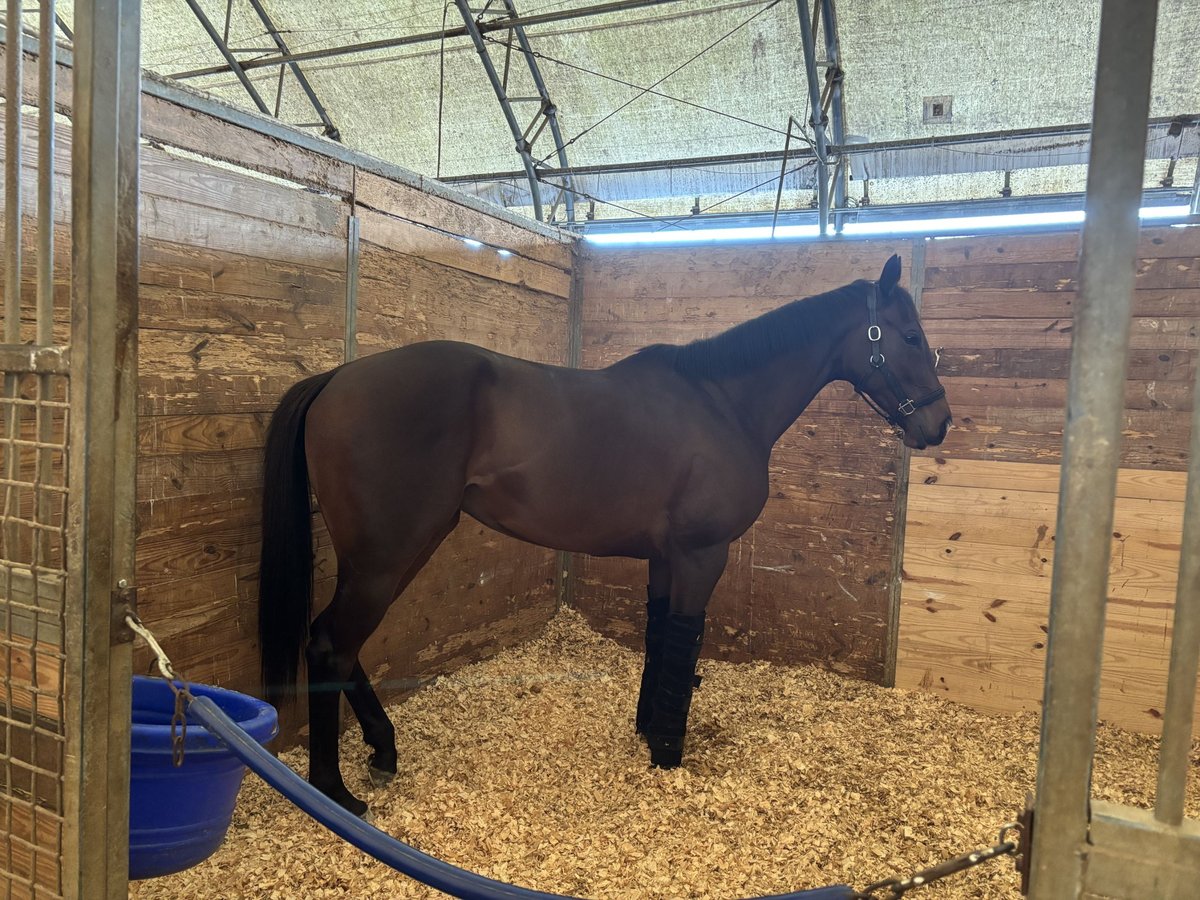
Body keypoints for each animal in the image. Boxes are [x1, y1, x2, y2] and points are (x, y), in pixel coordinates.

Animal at [258, 253, 952, 815]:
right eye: (912, 336)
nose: (940, 423)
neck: (722, 403)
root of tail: (336, 378)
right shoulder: (702, 555)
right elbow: (684, 641)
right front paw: (669, 753)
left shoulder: (667, 559)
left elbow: (661, 636)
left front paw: (649, 730)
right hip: (387, 554)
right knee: (330, 645)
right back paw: (334, 790)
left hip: (392, 552)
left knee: (339, 643)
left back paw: (382, 749)